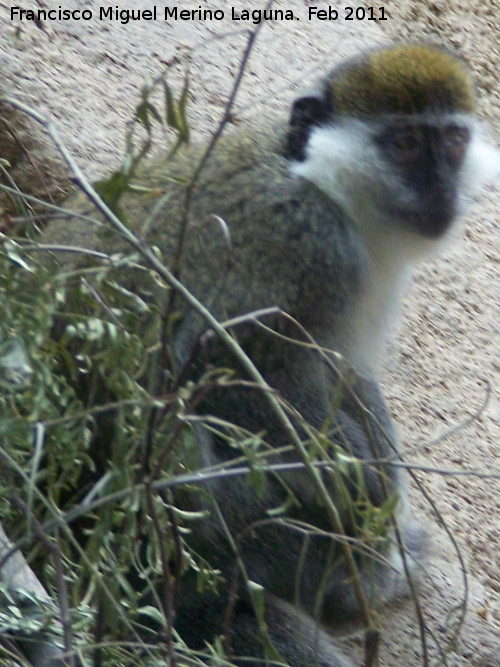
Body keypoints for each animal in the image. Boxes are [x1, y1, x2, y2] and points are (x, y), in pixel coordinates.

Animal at [3, 43, 500, 667]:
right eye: (406, 144)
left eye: (453, 142)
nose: (440, 190)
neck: (323, 184)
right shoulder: (302, 242)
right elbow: (221, 367)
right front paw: (366, 493)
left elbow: (349, 374)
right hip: (205, 538)